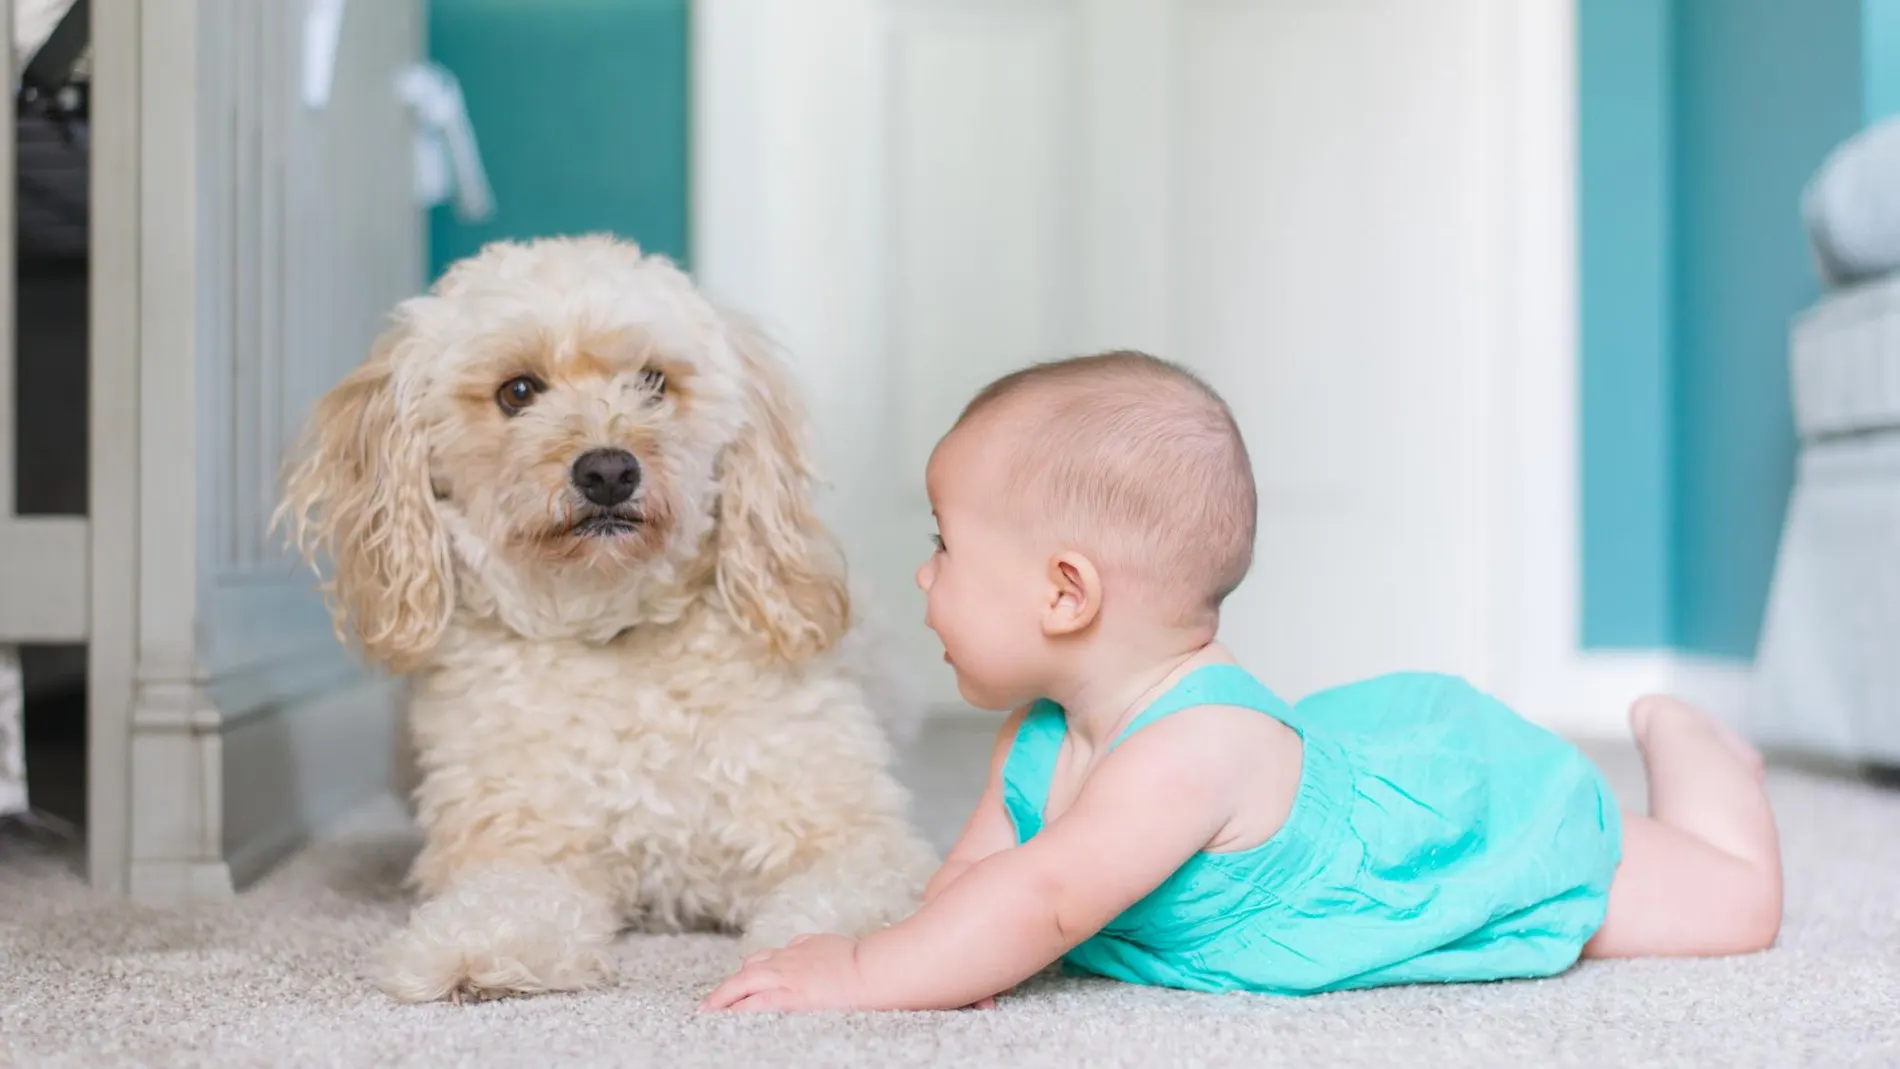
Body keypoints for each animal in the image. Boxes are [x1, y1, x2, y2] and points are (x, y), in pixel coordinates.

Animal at [277, 234, 942, 1002]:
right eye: (518, 391)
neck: (612, 629)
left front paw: (832, 955)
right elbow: (507, 900)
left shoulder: (851, 835)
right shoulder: (521, 844)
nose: (607, 472)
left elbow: (852, 897)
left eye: (653, 382)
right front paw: (474, 947)